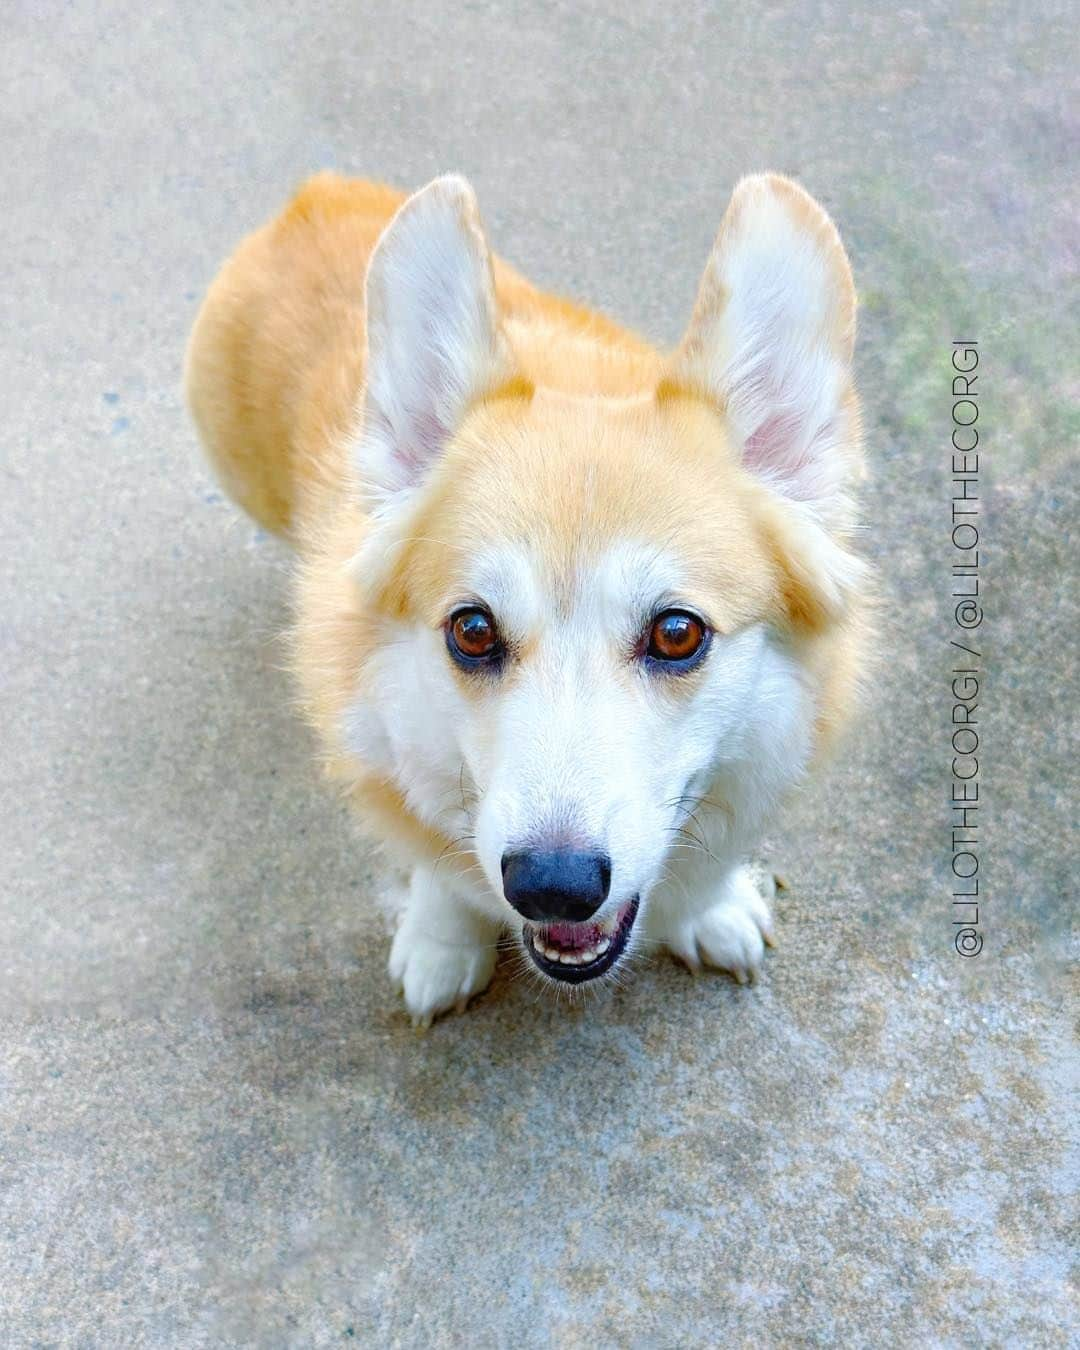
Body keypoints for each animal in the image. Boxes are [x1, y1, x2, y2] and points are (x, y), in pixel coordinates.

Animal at [180, 174, 864, 1026]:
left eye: (678, 633)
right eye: (472, 630)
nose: (553, 889)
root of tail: (319, 191)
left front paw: (706, 910)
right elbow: (441, 872)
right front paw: (442, 945)